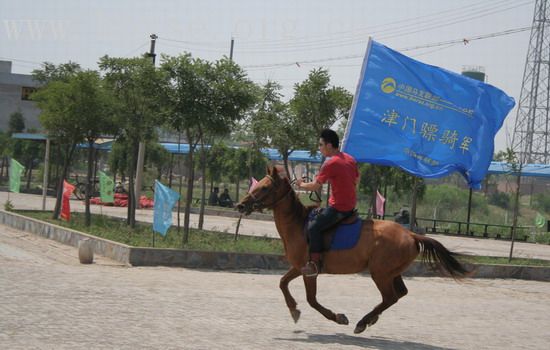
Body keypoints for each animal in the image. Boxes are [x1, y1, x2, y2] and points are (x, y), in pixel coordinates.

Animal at [236, 165, 470, 334]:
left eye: (264, 187)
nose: (241, 205)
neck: (298, 224)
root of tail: (411, 235)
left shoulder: (309, 271)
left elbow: (312, 300)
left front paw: (338, 317)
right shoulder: (299, 267)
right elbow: (282, 283)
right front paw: (293, 308)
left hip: (380, 273)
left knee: (390, 297)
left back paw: (363, 322)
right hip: (391, 272)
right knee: (400, 293)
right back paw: (371, 318)